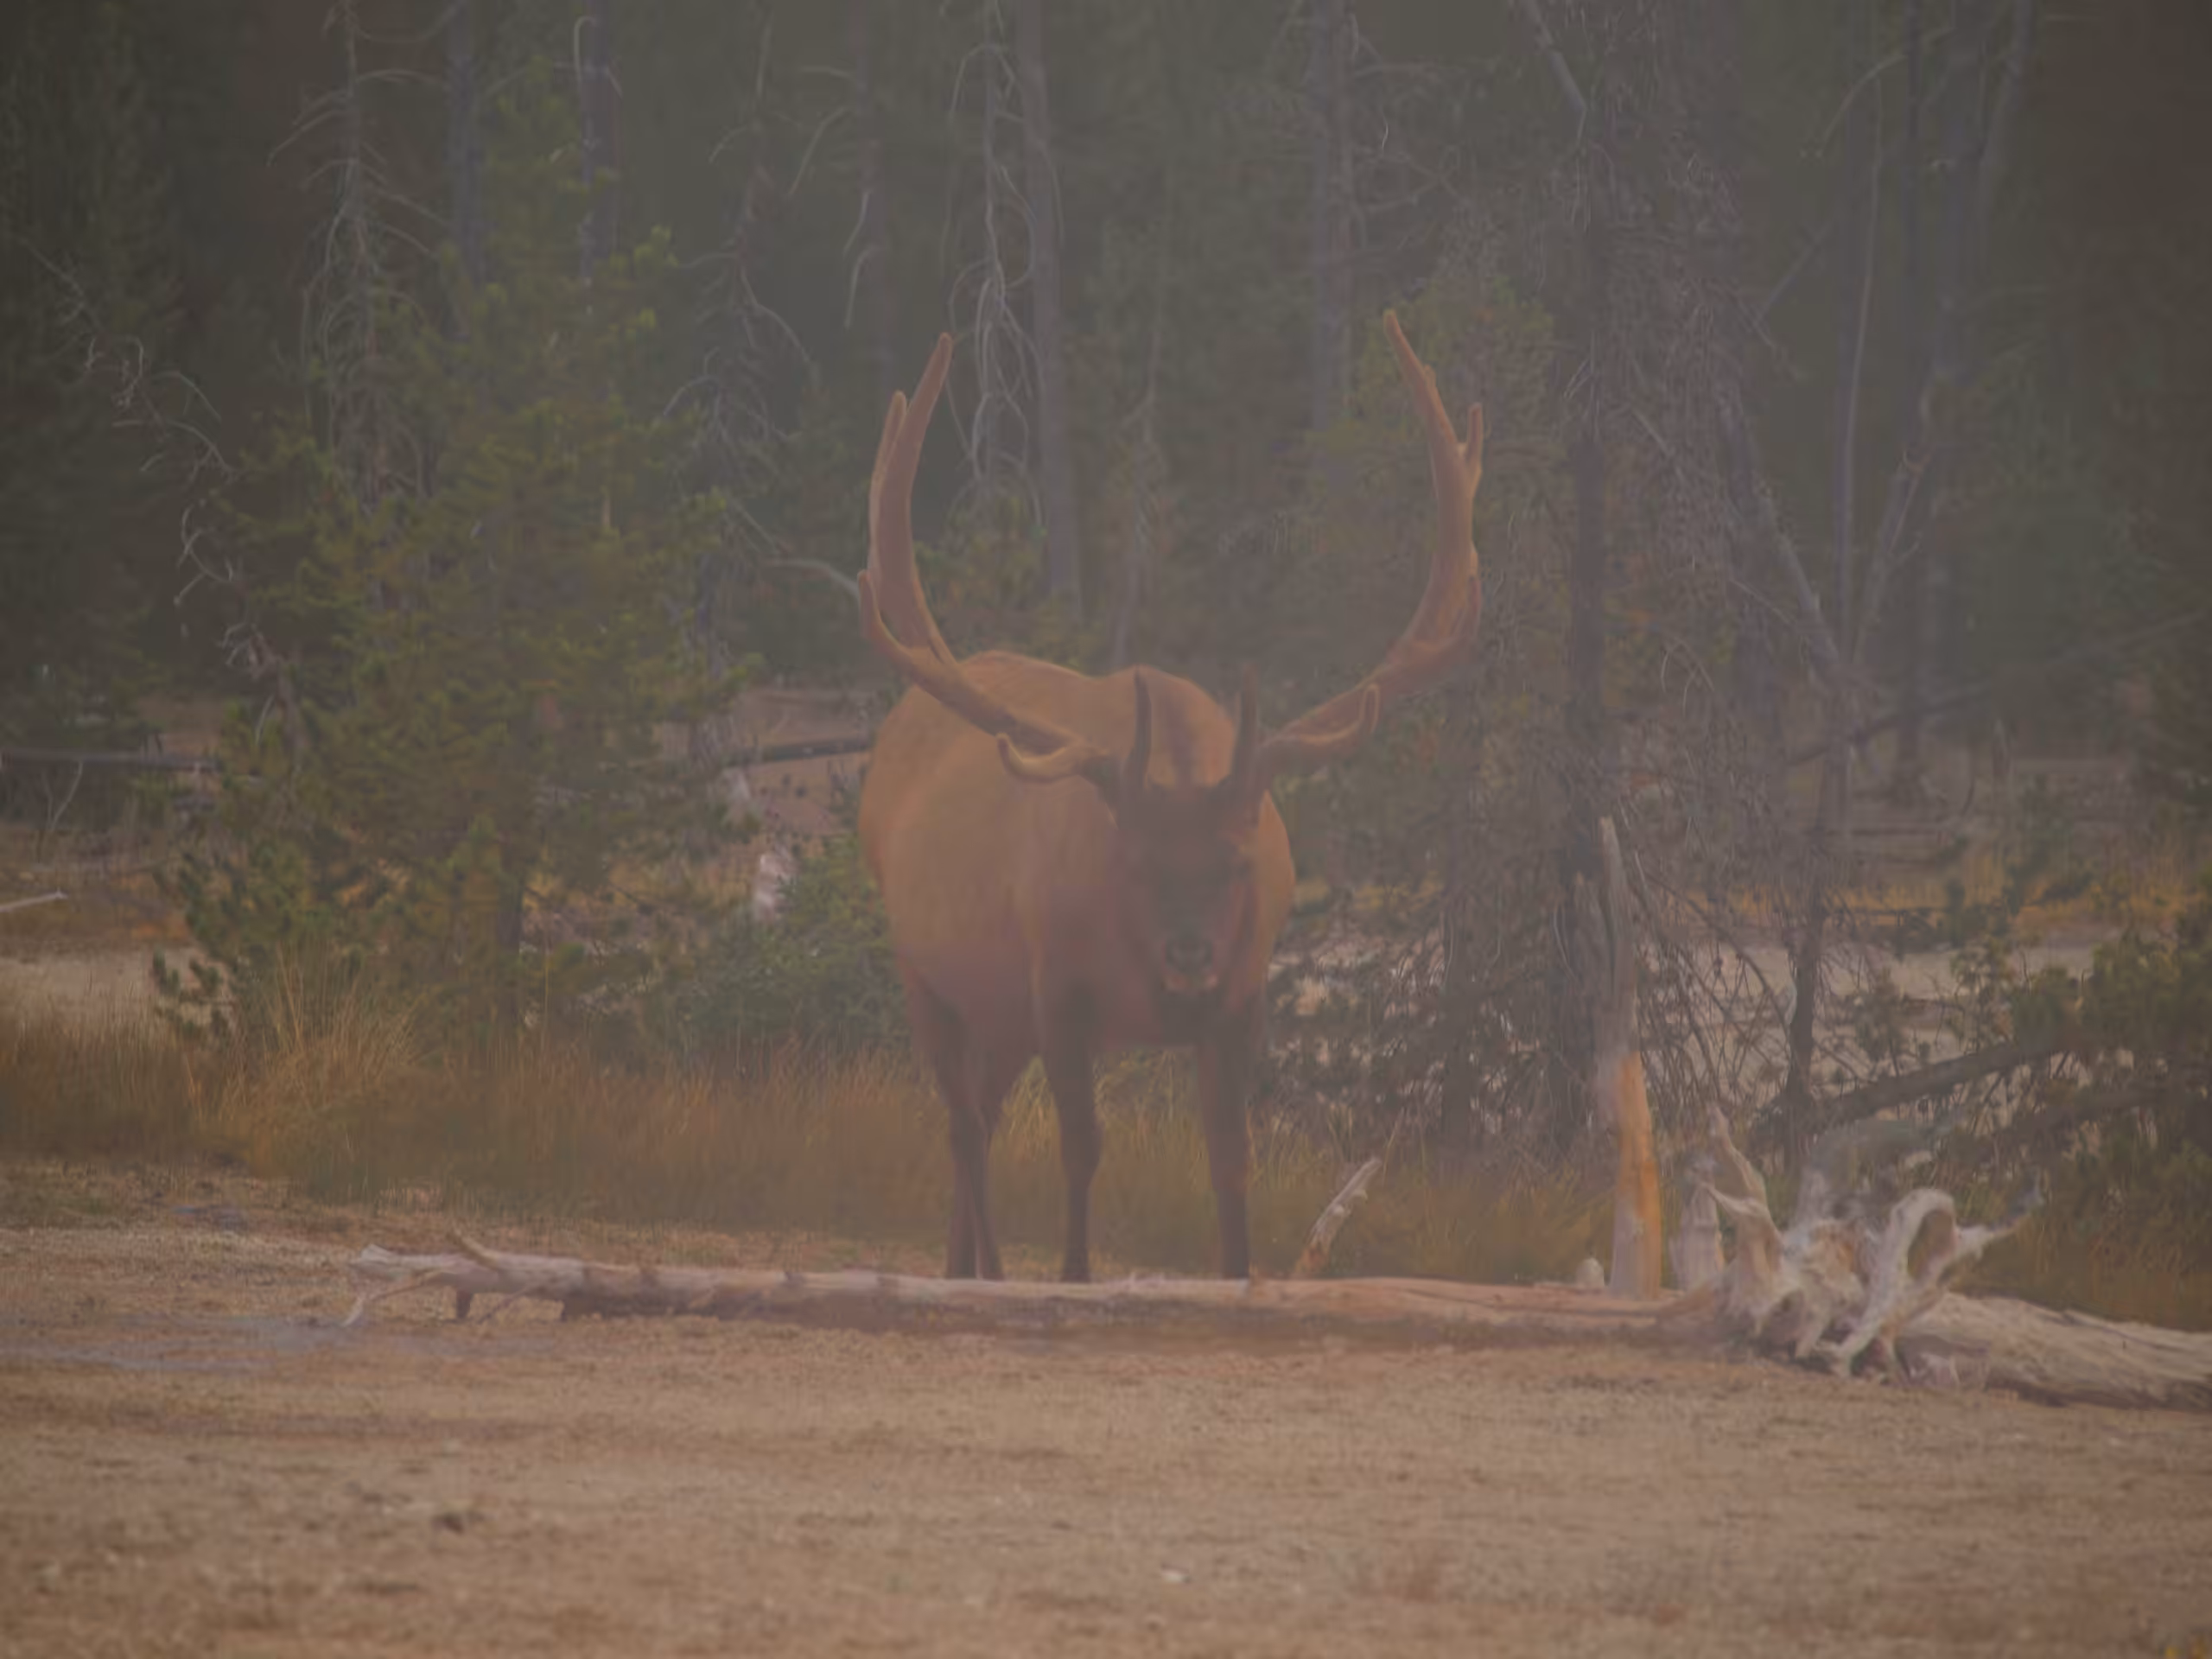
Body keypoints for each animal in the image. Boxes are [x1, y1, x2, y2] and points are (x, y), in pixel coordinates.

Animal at [856, 313, 1485, 1282]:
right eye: (1137, 864)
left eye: (1236, 863)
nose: (1190, 953)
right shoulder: (1058, 993)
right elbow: (1081, 1149)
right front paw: (1074, 1278)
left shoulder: (1238, 1002)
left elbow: (1231, 1158)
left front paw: (1238, 1275)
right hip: (926, 974)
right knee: (963, 1130)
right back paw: (986, 1274)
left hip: (997, 1013)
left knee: (981, 1120)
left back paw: (965, 1269)